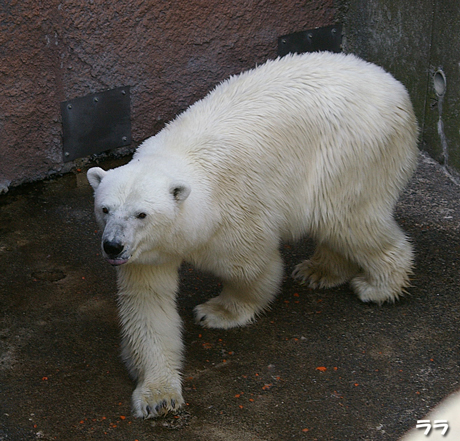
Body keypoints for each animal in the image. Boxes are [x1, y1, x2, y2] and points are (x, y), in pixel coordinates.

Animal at [85, 51, 416, 416]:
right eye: (105, 209)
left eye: (141, 214)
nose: (113, 247)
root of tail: (394, 84)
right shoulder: (146, 254)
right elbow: (147, 304)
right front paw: (159, 396)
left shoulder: (236, 212)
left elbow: (250, 267)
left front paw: (217, 312)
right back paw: (319, 271)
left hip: (351, 154)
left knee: (348, 217)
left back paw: (378, 287)